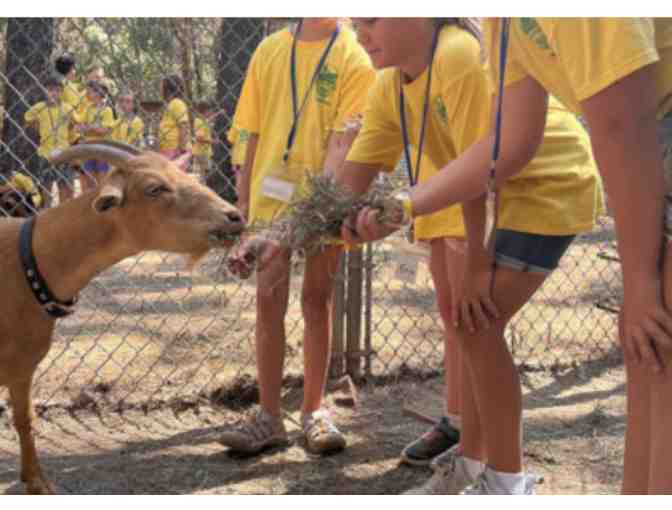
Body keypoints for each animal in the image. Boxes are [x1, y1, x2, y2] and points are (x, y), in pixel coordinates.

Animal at [0, 141, 244, 492]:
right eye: (154, 188)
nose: (234, 217)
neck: (28, 263)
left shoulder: (22, 368)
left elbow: (25, 420)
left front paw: (38, 483)